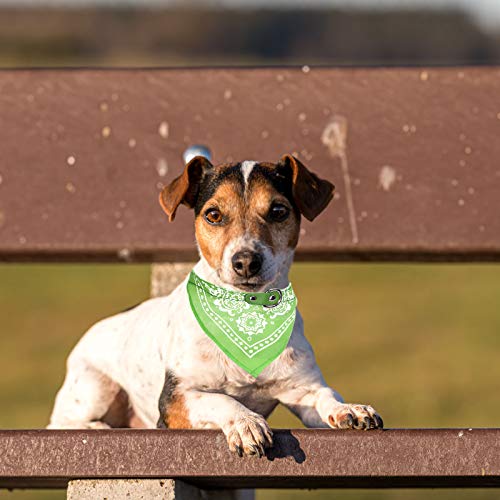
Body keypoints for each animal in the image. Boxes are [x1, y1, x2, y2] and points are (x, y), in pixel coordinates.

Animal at [47, 154, 382, 456]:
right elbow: (220, 399)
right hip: (96, 388)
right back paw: (96, 426)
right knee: (62, 422)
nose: (246, 261)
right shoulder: (177, 398)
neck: (247, 316)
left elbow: (326, 396)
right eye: (213, 215)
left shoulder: (303, 388)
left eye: (278, 211)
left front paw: (349, 408)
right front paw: (246, 422)